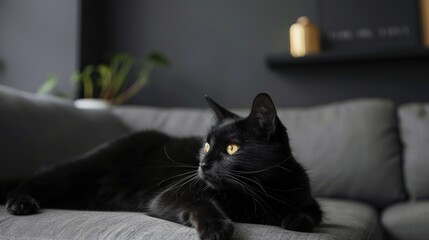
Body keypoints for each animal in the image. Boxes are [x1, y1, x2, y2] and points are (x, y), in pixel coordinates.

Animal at [4, 93, 320, 240]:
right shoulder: (172, 194)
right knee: (34, 180)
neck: (255, 193)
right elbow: (201, 204)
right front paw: (216, 226)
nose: (202, 164)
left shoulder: (306, 196)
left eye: (231, 148)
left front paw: (294, 219)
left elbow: (311, 214)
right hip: (78, 171)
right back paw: (21, 203)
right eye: (206, 145)